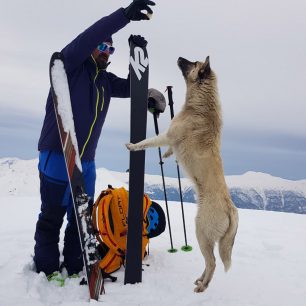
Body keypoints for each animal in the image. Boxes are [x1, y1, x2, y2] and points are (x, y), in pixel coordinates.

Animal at [125, 56, 238, 292]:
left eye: (193, 62)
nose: (179, 57)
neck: (201, 104)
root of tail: (231, 210)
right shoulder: (170, 139)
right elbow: (167, 149)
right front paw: (168, 154)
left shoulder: (167, 135)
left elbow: (147, 142)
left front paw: (133, 146)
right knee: (210, 262)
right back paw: (200, 280)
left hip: (201, 232)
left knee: (212, 262)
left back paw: (202, 286)